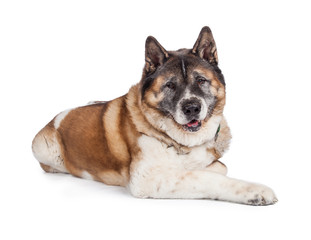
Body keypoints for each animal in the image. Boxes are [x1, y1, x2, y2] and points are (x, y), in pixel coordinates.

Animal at [33, 26, 278, 206]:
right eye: (170, 85)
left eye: (201, 80)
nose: (191, 108)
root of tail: (55, 119)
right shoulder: (146, 179)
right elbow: (206, 177)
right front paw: (255, 191)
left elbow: (219, 167)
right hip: (42, 148)